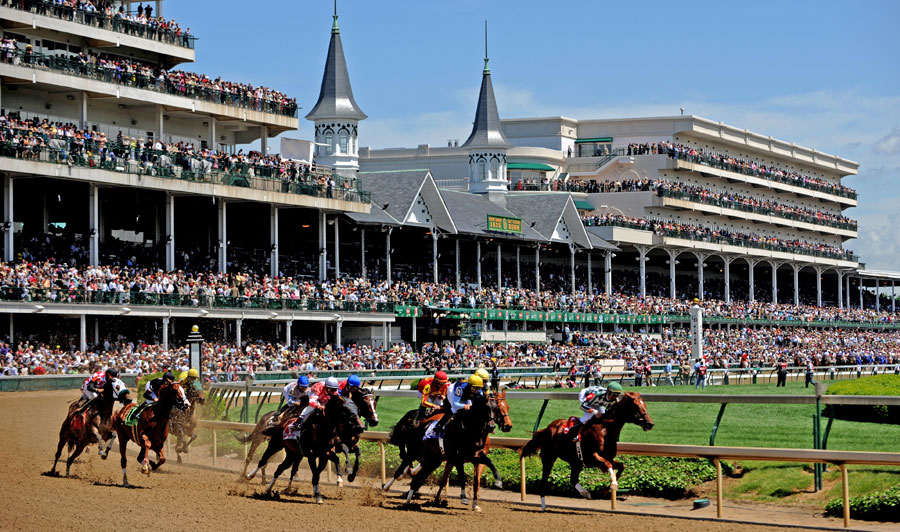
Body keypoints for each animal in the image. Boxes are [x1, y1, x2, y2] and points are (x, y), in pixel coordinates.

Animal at [520, 390, 652, 512]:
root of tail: (547, 428)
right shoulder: (592, 457)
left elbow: (621, 466)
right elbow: (608, 465)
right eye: (636, 406)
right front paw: (613, 484)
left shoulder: (608, 457)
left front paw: (607, 489)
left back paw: (586, 493)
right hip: (549, 458)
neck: (605, 429)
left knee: (573, 479)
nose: (650, 424)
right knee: (543, 483)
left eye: (645, 405)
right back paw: (543, 507)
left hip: (576, 462)